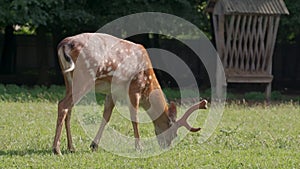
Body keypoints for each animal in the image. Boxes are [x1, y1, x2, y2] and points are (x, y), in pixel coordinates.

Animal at [52, 32, 207, 154]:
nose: (166, 146)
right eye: (174, 134)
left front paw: (94, 145)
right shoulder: (134, 88)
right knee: (63, 105)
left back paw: (71, 147)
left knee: (68, 109)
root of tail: (64, 44)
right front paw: (139, 147)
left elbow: (106, 116)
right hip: (85, 78)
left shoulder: (112, 92)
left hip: (68, 80)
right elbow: (135, 118)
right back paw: (56, 149)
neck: (147, 87)